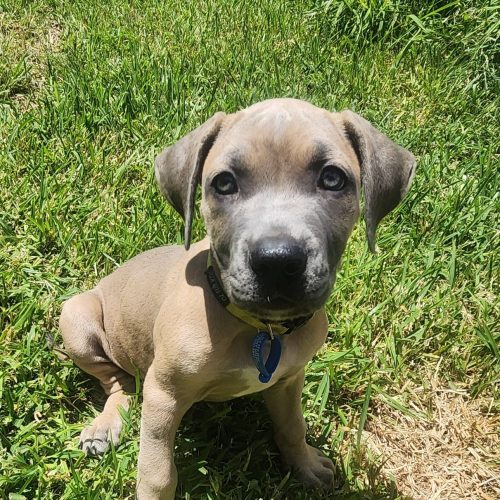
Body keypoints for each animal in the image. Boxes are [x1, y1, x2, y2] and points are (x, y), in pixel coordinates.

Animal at [59, 98, 416, 498]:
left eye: (332, 179)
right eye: (224, 183)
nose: (277, 261)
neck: (259, 327)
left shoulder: (289, 380)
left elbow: (292, 426)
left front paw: (305, 465)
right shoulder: (163, 395)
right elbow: (157, 472)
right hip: (75, 317)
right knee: (117, 379)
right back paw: (105, 425)